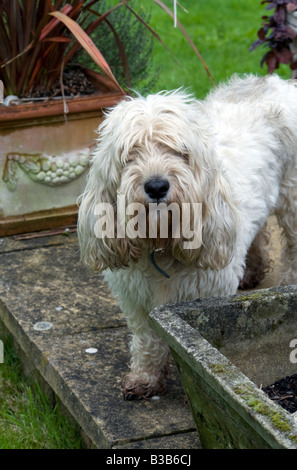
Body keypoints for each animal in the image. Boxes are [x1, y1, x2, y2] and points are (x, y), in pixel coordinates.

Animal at [77, 74, 296, 400]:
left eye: (179, 152)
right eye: (131, 154)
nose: (156, 186)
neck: (161, 241)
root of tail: (277, 81)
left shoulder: (211, 292)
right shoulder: (136, 298)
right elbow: (146, 339)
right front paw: (145, 378)